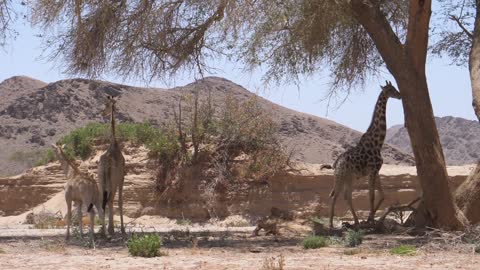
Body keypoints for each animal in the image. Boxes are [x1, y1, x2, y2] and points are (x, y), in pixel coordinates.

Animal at [326, 80, 402, 228]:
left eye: (394, 88)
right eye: (391, 89)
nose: (400, 95)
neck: (377, 143)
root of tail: (336, 163)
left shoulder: (376, 170)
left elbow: (382, 195)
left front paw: (369, 219)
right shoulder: (372, 170)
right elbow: (371, 195)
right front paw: (371, 221)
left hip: (349, 178)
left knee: (346, 196)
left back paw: (356, 221)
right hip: (340, 177)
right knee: (335, 195)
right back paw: (331, 223)